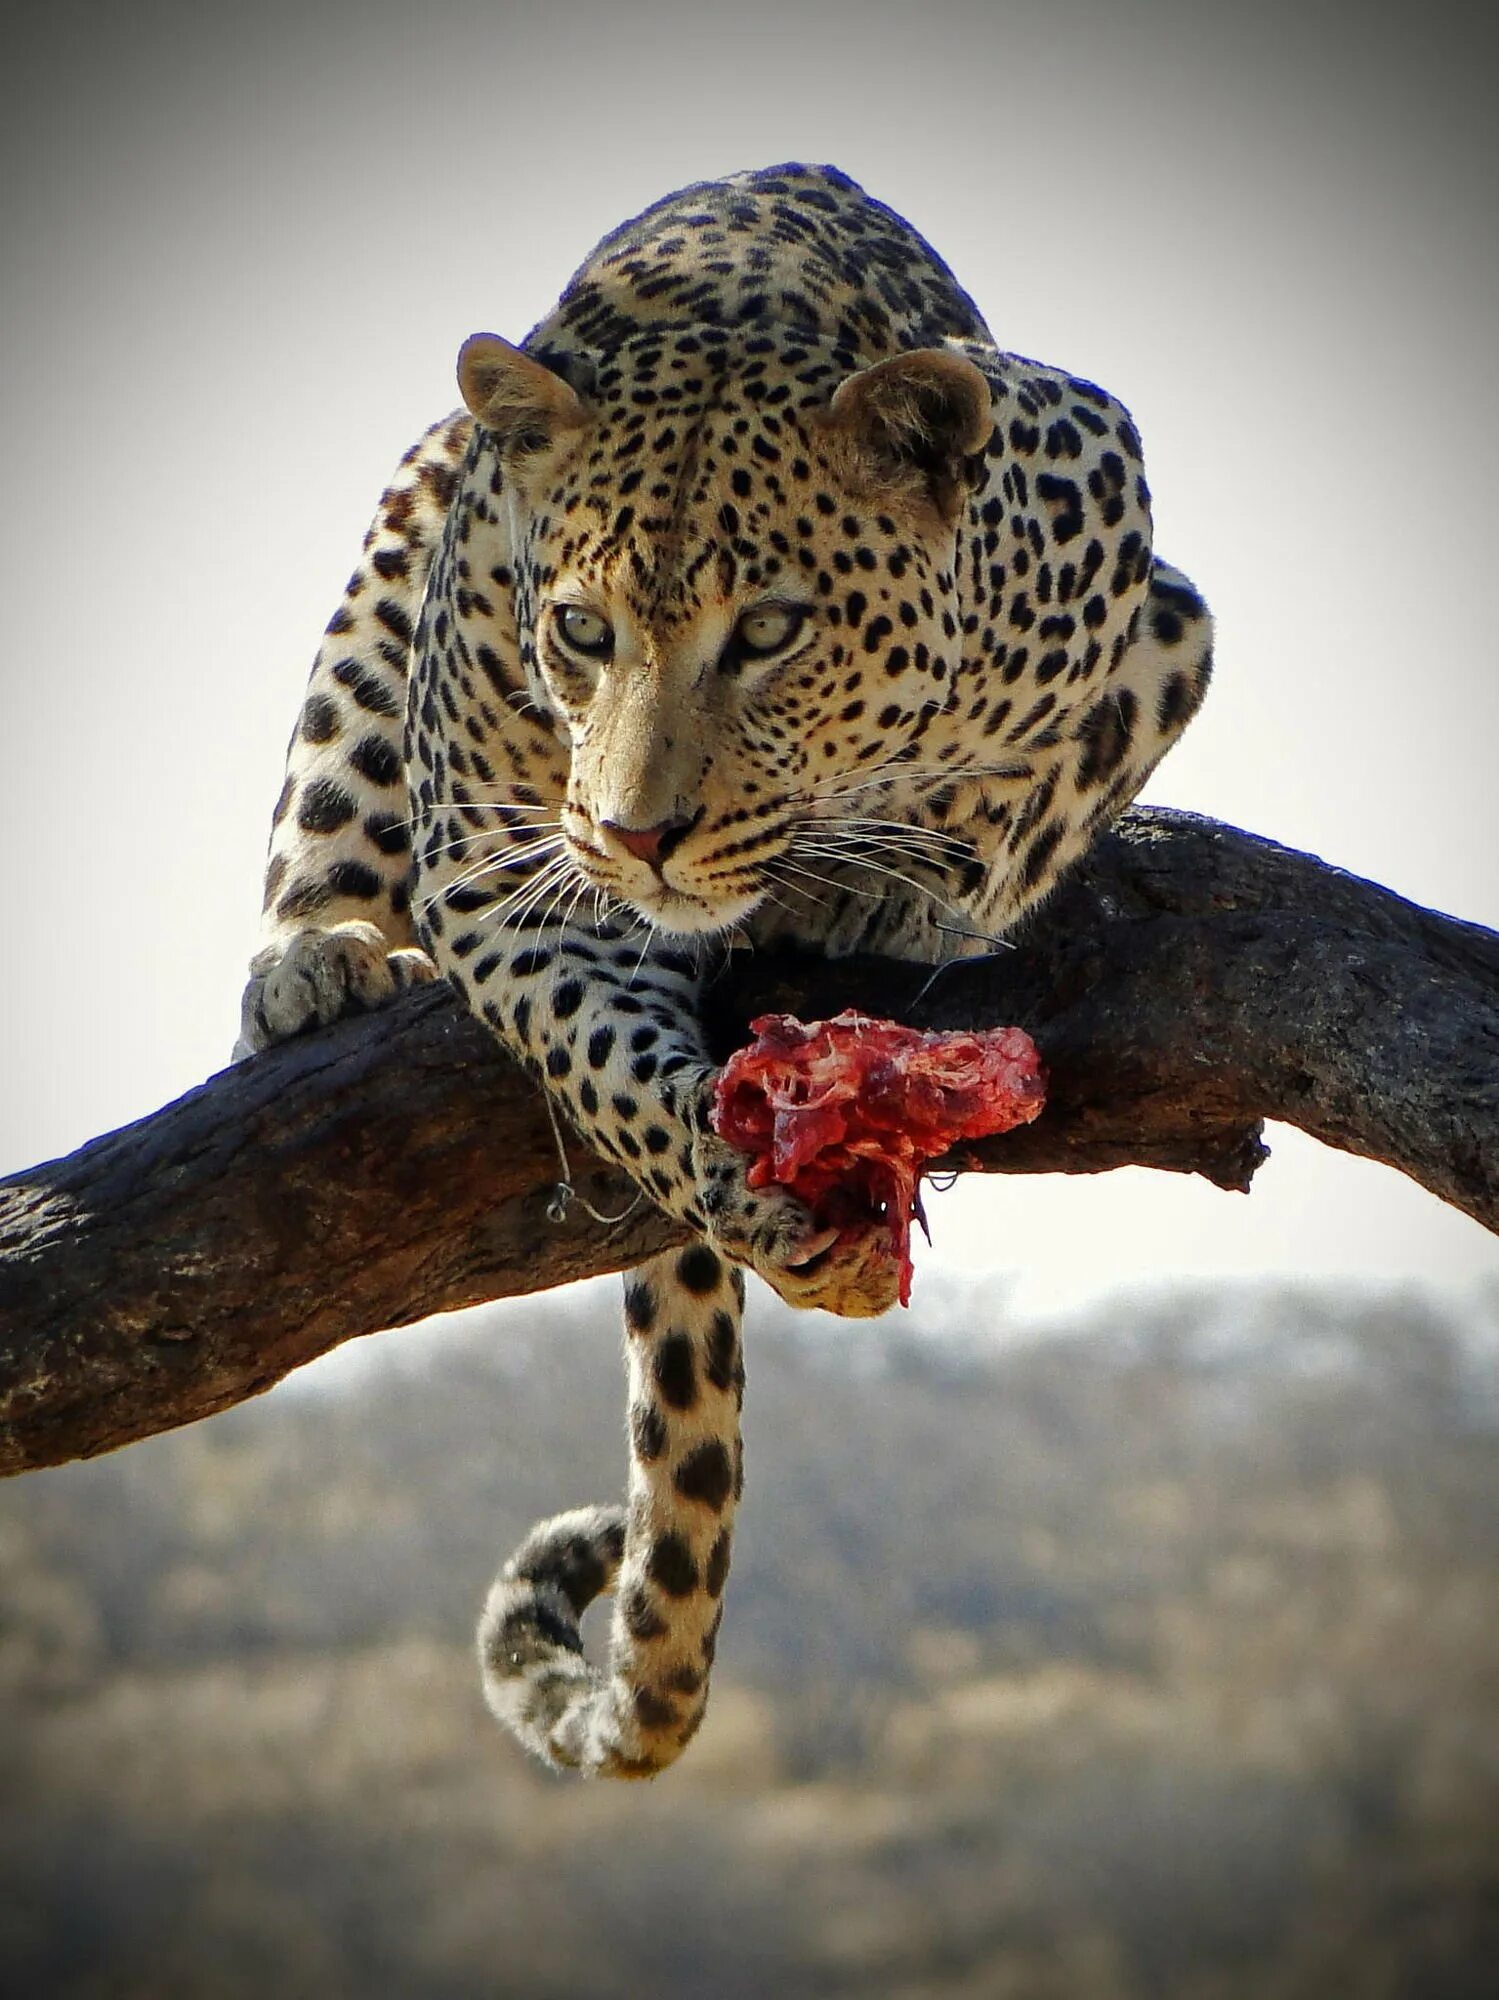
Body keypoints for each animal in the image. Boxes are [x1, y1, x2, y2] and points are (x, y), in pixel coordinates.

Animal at [240, 160, 1215, 1784]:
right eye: (579, 629)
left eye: (768, 630)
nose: (638, 832)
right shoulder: (504, 883)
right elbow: (610, 1063)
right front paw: (748, 1190)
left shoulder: (1152, 607)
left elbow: (1034, 789)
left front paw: (903, 880)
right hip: (399, 562)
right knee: (333, 776)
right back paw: (310, 957)